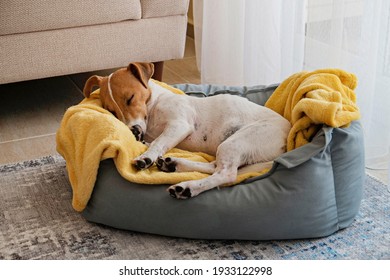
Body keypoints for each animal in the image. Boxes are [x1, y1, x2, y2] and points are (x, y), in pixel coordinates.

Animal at [83, 62, 290, 198]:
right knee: (214, 166)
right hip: (228, 146)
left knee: (226, 174)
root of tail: (287, 140)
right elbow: (152, 141)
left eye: (130, 98)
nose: (133, 131)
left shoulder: (179, 124)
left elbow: (158, 142)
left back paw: (187, 187)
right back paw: (173, 164)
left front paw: (146, 157)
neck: (154, 105)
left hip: (237, 141)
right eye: (111, 111)